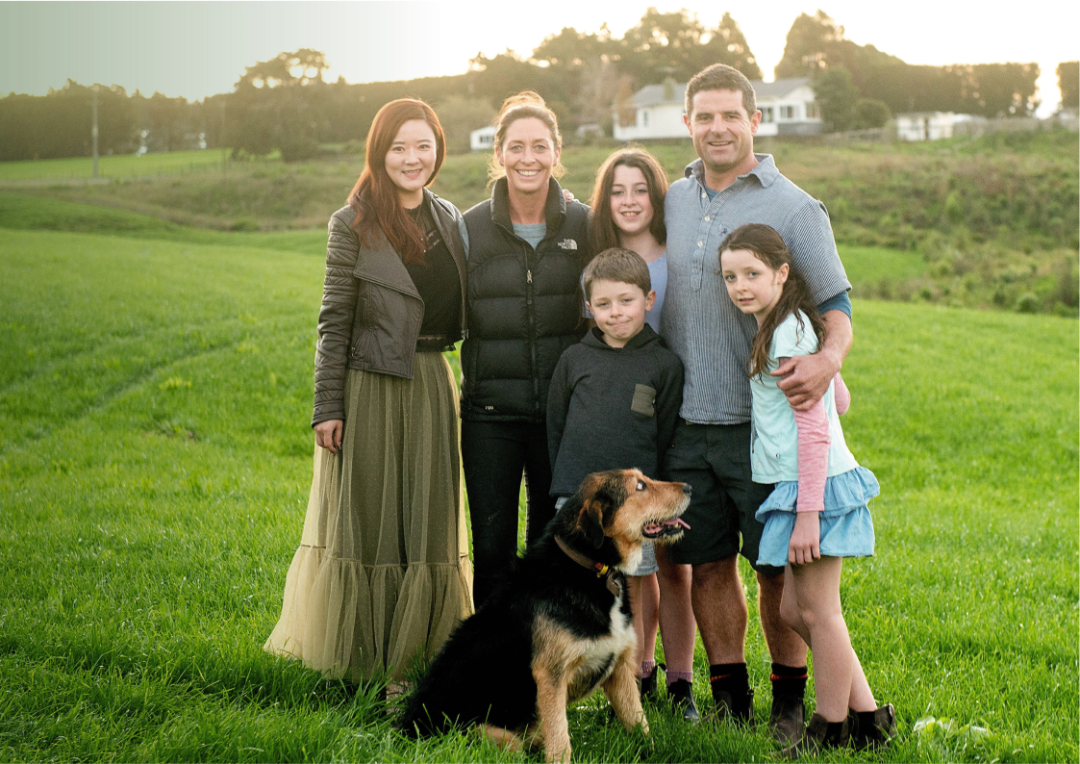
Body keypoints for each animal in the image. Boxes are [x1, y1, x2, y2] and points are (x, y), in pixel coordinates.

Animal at [399, 468, 691, 760]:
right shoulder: (551, 675)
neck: (590, 568)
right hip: (494, 737)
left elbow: (638, 723)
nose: (689, 487)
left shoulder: (619, 668)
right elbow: (561, 739)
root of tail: (406, 732)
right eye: (640, 486)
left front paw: (651, 753)